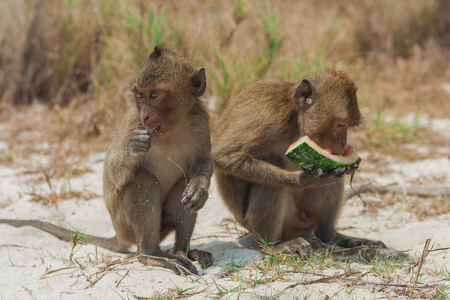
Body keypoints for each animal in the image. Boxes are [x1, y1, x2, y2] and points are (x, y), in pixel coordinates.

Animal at [0, 45, 214, 276]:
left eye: (154, 95)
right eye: (139, 96)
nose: (146, 115)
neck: (172, 128)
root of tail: (119, 235)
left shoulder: (201, 118)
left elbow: (203, 162)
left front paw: (200, 187)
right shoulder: (133, 122)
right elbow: (113, 174)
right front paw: (133, 146)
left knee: (184, 185)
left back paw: (183, 251)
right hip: (124, 223)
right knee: (142, 180)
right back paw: (151, 254)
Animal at [213, 68, 384, 255]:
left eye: (347, 126)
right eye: (341, 124)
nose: (343, 144)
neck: (295, 119)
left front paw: (352, 165)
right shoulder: (268, 119)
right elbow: (223, 157)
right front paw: (303, 180)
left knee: (336, 183)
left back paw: (331, 236)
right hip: (283, 223)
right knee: (271, 183)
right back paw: (272, 245)